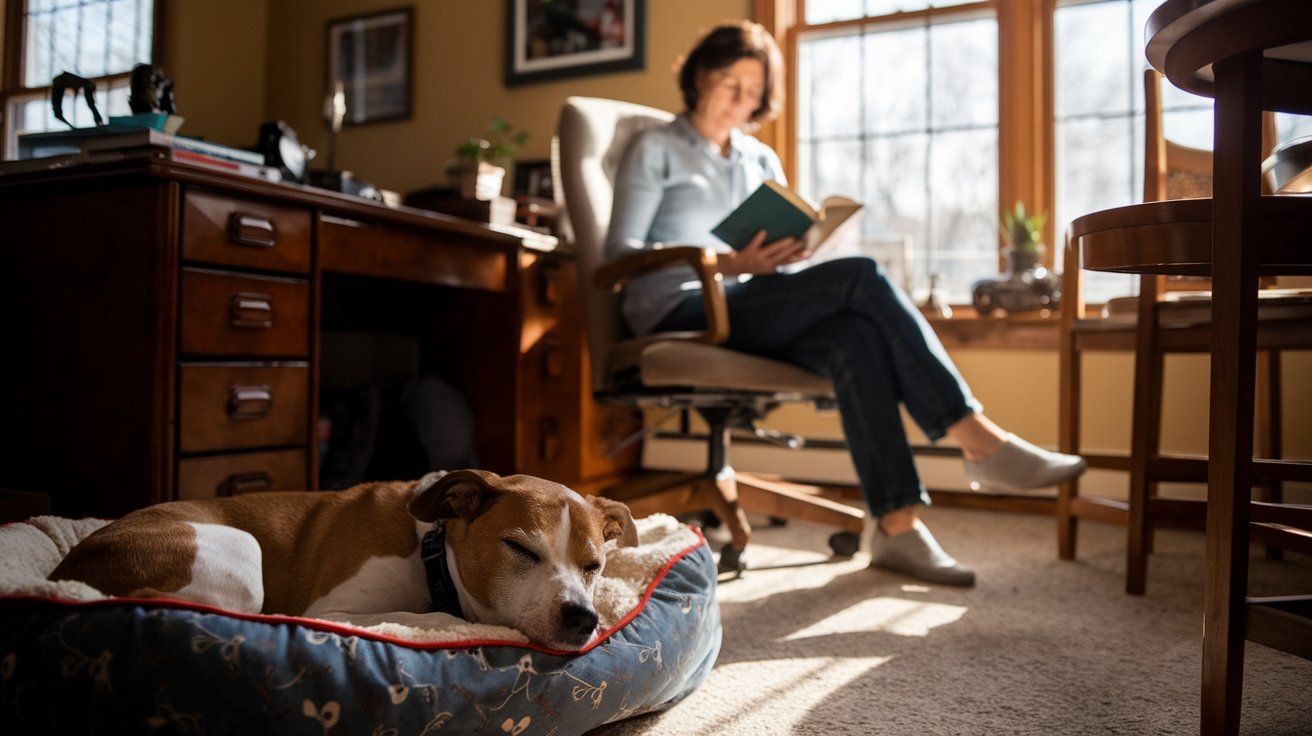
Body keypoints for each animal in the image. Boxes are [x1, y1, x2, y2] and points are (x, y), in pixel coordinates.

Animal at [49, 469, 640, 648]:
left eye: (594, 566)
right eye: (519, 548)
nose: (583, 618)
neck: (431, 554)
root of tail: (65, 570)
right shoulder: (336, 610)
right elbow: (427, 617)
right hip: (239, 552)